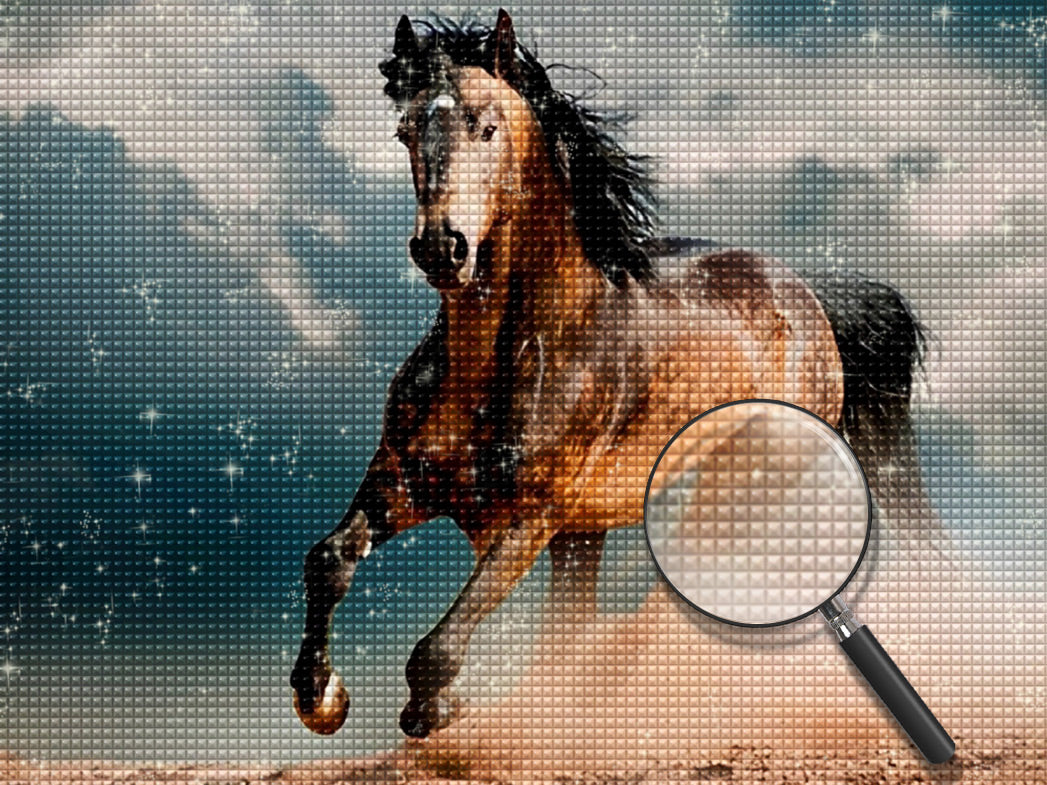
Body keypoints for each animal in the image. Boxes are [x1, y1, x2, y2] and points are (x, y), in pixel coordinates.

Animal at [289, 10, 926, 740]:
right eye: (405, 131)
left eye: (488, 125)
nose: (441, 248)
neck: (503, 362)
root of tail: (807, 297)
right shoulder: (403, 483)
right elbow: (328, 560)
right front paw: (321, 698)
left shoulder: (531, 519)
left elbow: (436, 650)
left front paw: (439, 710)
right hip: (586, 535)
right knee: (572, 631)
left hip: (725, 494)